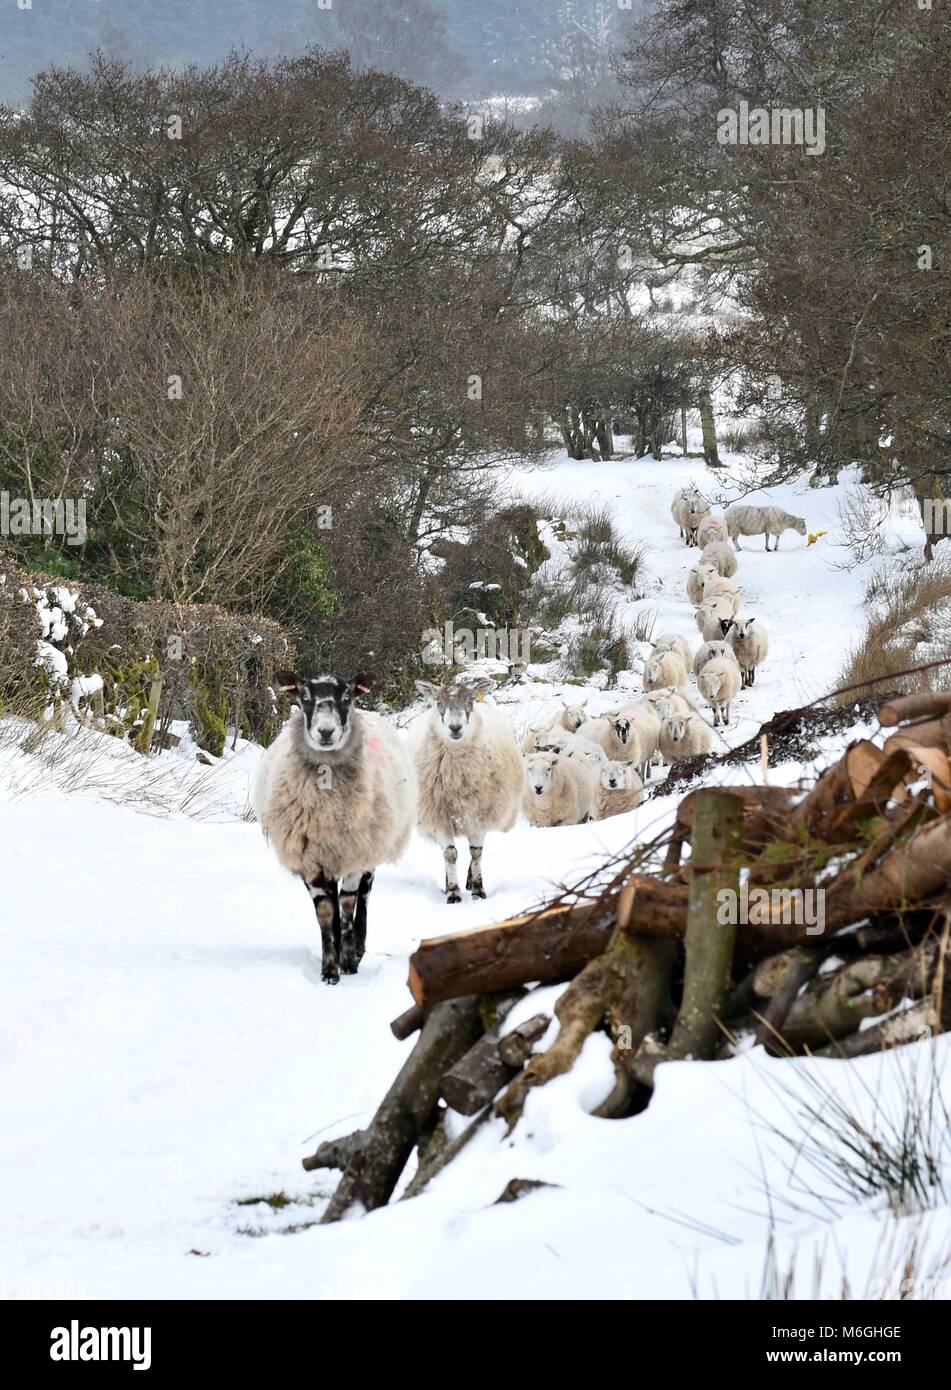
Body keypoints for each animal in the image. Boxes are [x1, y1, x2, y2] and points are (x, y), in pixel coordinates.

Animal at [253, 670, 416, 984]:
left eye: (347, 697)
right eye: (304, 697)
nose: (326, 732)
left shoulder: (355, 854)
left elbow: (348, 905)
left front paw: (349, 961)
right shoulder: (312, 861)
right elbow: (327, 913)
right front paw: (330, 970)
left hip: (369, 850)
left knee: (363, 898)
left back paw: (358, 949)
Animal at [411, 679, 524, 904]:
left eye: (471, 700)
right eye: (438, 701)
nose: (455, 727)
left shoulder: (478, 815)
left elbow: (476, 853)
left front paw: (478, 890)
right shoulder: (439, 818)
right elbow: (450, 854)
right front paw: (453, 892)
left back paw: (470, 881)